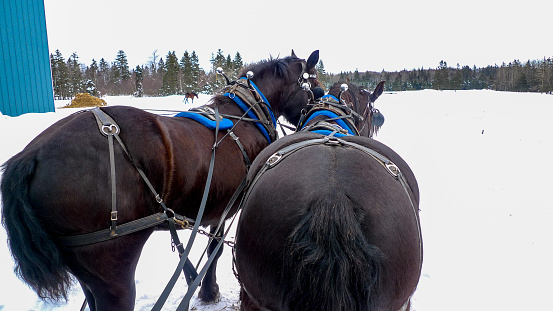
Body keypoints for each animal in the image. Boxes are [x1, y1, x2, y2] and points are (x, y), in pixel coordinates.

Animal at [1, 50, 320, 310]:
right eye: (315, 87)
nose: (313, 118)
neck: (246, 114)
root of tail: (32, 155)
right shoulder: (226, 209)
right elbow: (214, 250)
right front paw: (208, 290)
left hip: (86, 270)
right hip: (112, 264)